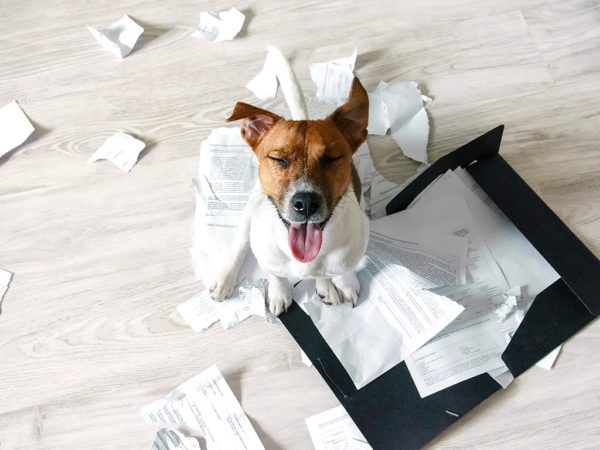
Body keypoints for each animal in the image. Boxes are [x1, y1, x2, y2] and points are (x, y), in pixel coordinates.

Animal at [210, 77, 370, 316]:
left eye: (331, 159)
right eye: (279, 159)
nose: (306, 203)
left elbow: (345, 269)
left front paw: (345, 283)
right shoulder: (269, 260)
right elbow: (276, 276)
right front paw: (279, 293)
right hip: (250, 210)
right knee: (240, 244)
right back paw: (225, 279)